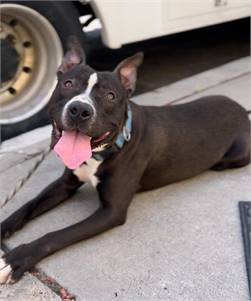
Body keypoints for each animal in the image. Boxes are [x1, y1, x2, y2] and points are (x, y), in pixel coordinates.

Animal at [0, 36, 250, 282]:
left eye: (110, 96)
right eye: (67, 84)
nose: (80, 109)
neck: (100, 153)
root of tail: (242, 110)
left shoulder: (111, 212)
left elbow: (56, 235)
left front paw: (16, 258)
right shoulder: (66, 184)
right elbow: (27, 206)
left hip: (237, 155)